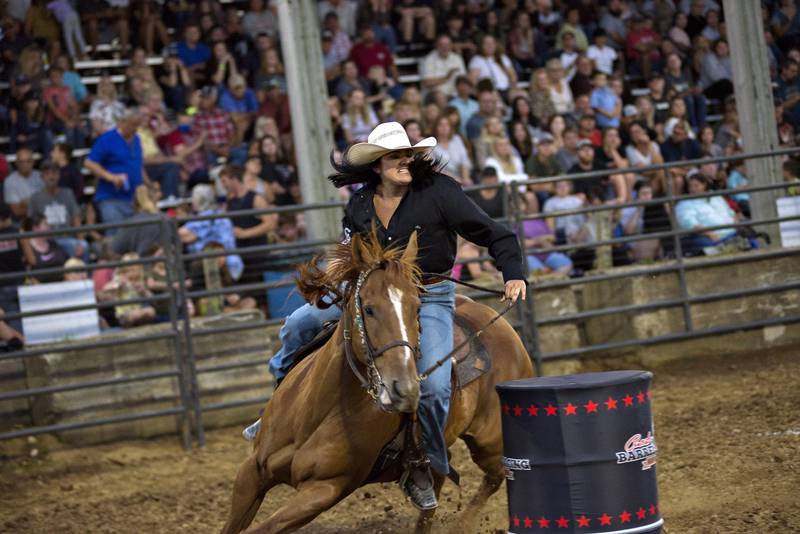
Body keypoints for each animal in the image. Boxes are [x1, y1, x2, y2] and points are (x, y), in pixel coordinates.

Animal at [220, 232, 532, 532]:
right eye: (368, 309)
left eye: (417, 309)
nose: (404, 388)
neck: (315, 412)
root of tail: (503, 327)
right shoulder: (251, 472)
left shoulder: (324, 490)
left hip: (489, 441)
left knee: (496, 475)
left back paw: (461, 524)